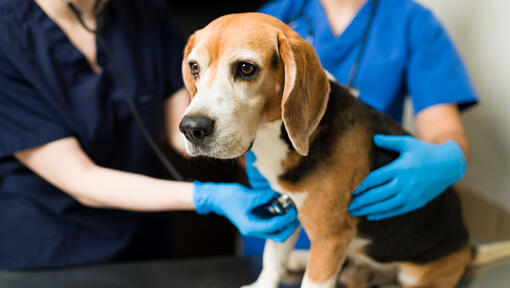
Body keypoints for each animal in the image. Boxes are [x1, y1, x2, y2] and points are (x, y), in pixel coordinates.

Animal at [178, 12, 510, 286]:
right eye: (194, 68)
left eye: (246, 68)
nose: (191, 128)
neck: (280, 138)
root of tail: (467, 248)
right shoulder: (284, 209)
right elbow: (273, 258)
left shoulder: (331, 238)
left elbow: (313, 280)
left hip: (417, 271)